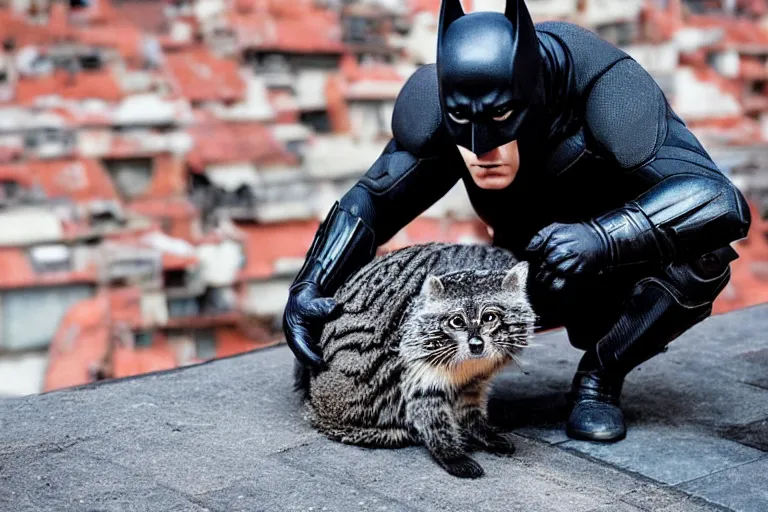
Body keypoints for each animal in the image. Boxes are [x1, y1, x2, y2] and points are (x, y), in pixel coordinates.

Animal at [292, 242, 536, 478]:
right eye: (457, 321)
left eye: (489, 317)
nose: (476, 344)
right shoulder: (416, 352)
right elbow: (428, 406)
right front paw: (449, 452)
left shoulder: (476, 377)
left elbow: (469, 403)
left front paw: (480, 429)